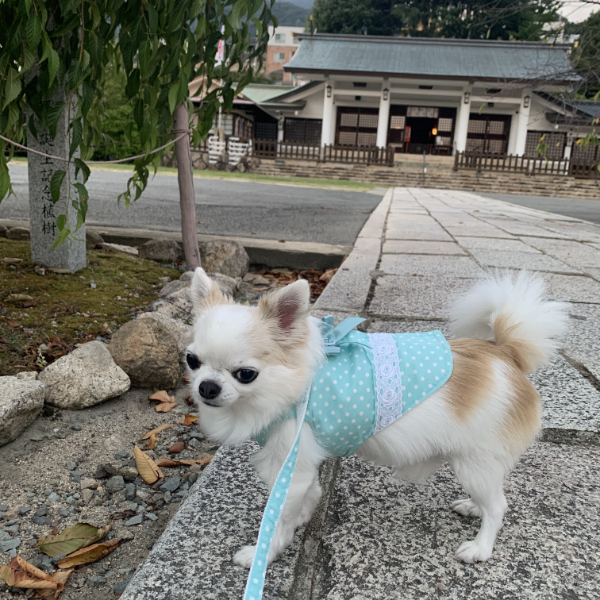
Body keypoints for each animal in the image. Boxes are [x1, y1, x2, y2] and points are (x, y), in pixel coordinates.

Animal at [186, 268, 568, 568]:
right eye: (192, 360)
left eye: (245, 374)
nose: (207, 387)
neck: (290, 382)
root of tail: (505, 353)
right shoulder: (304, 467)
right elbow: (307, 498)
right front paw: (302, 518)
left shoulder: (290, 463)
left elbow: (277, 519)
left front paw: (263, 553)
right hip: (477, 463)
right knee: (490, 496)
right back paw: (473, 506)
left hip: (474, 461)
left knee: (498, 506)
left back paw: (480, 548)